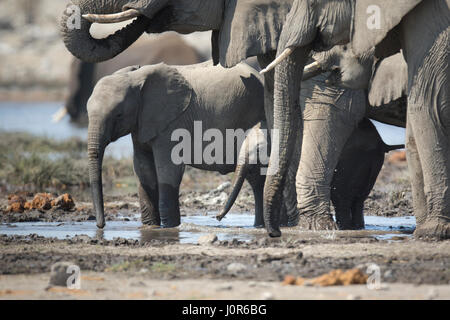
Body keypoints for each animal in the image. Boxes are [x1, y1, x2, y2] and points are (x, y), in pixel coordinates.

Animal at [86, 61, 268, 229]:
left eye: (118, 114)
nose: (100, 225)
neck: (135, 76)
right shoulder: (141, 124)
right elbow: (143, 169)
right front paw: (150, 227)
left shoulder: (172, 123)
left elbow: (168, 171)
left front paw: (170, 227)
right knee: (256, 177)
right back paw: (260, 225)